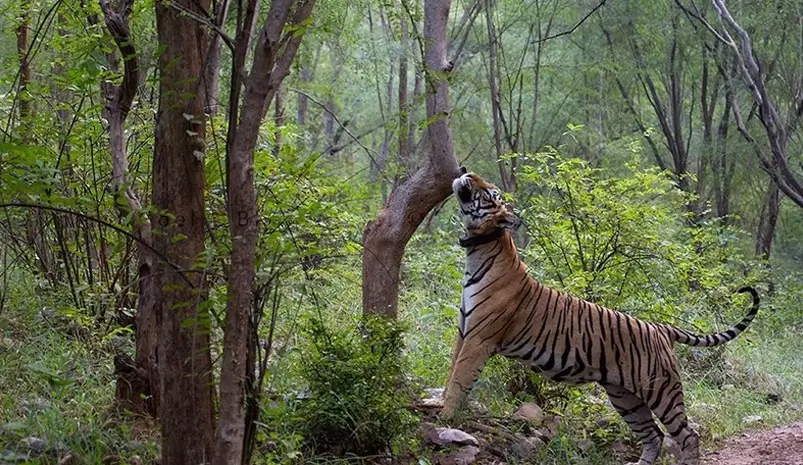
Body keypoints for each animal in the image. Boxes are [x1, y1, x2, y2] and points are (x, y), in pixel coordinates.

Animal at [442, 171, 760, 465]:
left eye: (490, 192)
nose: (466, 172)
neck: (478, 247)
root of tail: (660, 328)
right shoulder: (464, 333)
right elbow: (451, 373)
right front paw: (439, 405)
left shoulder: (479, 338)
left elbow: (459, 379)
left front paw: (445, 417)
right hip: (625, 397)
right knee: (653, 435)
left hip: (661, 390)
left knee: (688, 435)